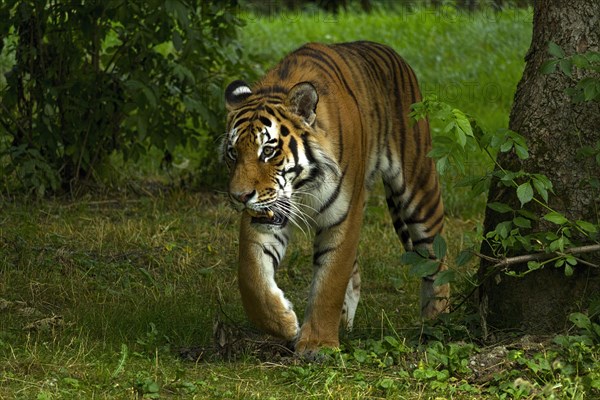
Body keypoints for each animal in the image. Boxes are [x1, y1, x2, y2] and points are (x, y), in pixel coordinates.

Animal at [223, 40, 448, 354]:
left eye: (268, 151)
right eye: (233, 153)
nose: (239, 197)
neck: (303, 186)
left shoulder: (344, 215)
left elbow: (330, 281)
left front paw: (317, 344)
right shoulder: (264, 217)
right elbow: (251, 276)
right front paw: (285, 323)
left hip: (419, 184)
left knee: (436, 253)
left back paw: (438, 320)